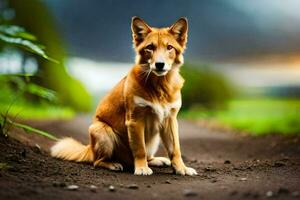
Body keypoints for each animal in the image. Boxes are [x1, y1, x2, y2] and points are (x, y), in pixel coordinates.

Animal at [51, 17, 197, 177]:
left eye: (169, 47)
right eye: (150, 47)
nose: (159, 64)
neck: (159, 86)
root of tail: (89, 148)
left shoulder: (170, 120)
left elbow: (175, 149)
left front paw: (181, 168)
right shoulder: (135, 120)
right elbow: (140, 149)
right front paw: (141, 168)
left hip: (154, 139)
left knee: (148, 155)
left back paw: (156, 160)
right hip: (102, 131)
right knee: (97, 161)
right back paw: (113, 164)